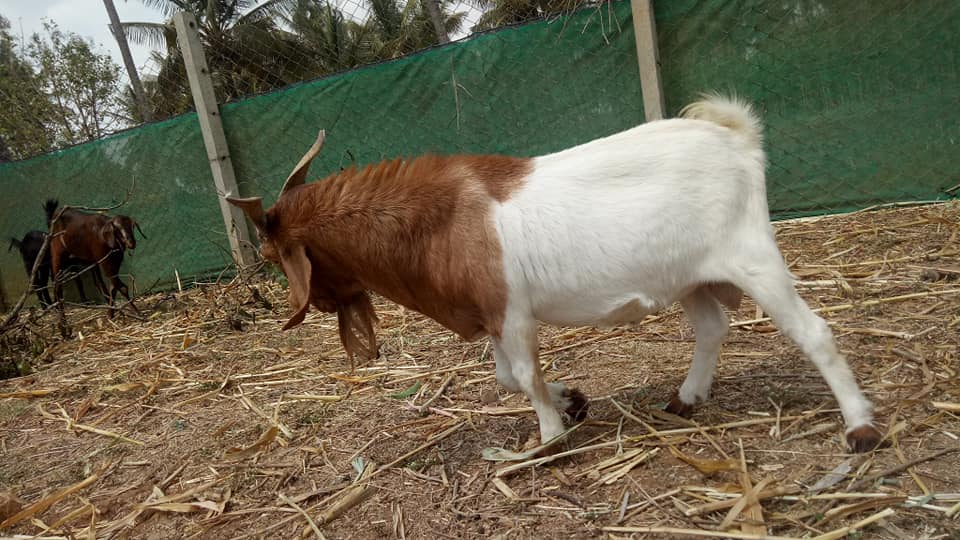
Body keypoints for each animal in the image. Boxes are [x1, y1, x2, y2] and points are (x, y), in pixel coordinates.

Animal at [226, 94, 883, 454]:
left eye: (273, 257)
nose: (324, 309)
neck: (443, 219)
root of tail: (736, 137)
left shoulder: (511, 313)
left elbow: (522, 374)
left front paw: (547, 439)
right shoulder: (493, 313)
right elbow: (506, 378)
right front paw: (572, 402)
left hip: (752, 256)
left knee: (813, 332)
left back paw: (860, 429)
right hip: (687, 276)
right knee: (713, 325)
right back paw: (686, 398)